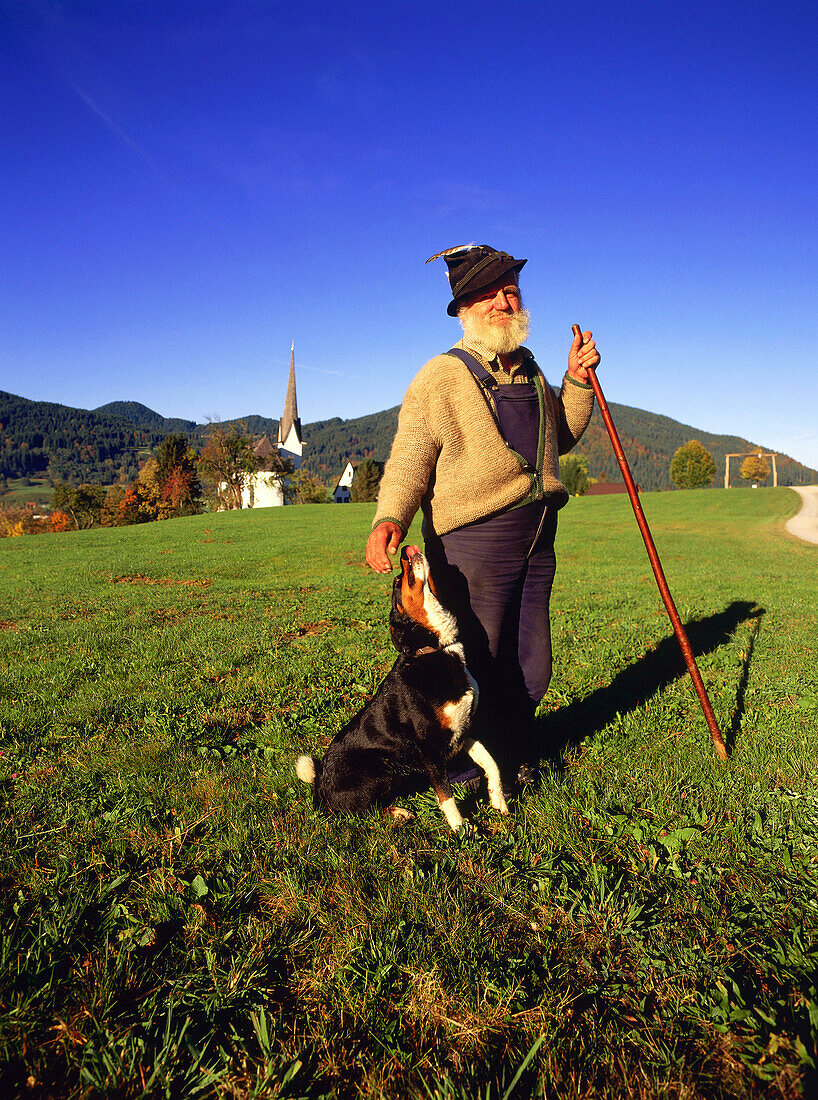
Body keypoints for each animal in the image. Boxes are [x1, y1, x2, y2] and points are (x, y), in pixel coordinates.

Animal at [294, 545, 507, 827]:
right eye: (397, 580)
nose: (405, 551)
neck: (433, 650)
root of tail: (319, 785)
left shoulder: (465, 729)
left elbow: (492, 763)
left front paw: (499, 801)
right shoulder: (430, 749)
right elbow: (445, 794)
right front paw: (460, 828)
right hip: (379, 771)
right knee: (363, 810)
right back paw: (399, 813)